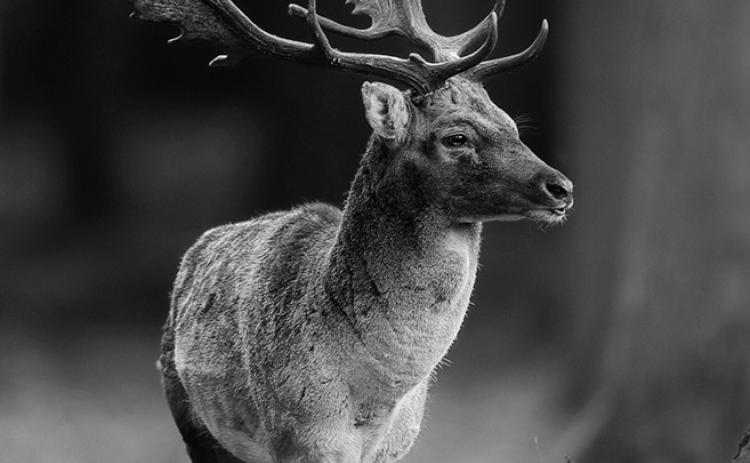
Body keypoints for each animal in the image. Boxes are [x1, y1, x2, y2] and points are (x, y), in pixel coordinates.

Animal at [130, 0, 573, 462]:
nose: (561, 187)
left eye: (512, 126)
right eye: (456, 137)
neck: (374, 398)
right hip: (192, 417)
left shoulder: (399, 443)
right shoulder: (299, 434)